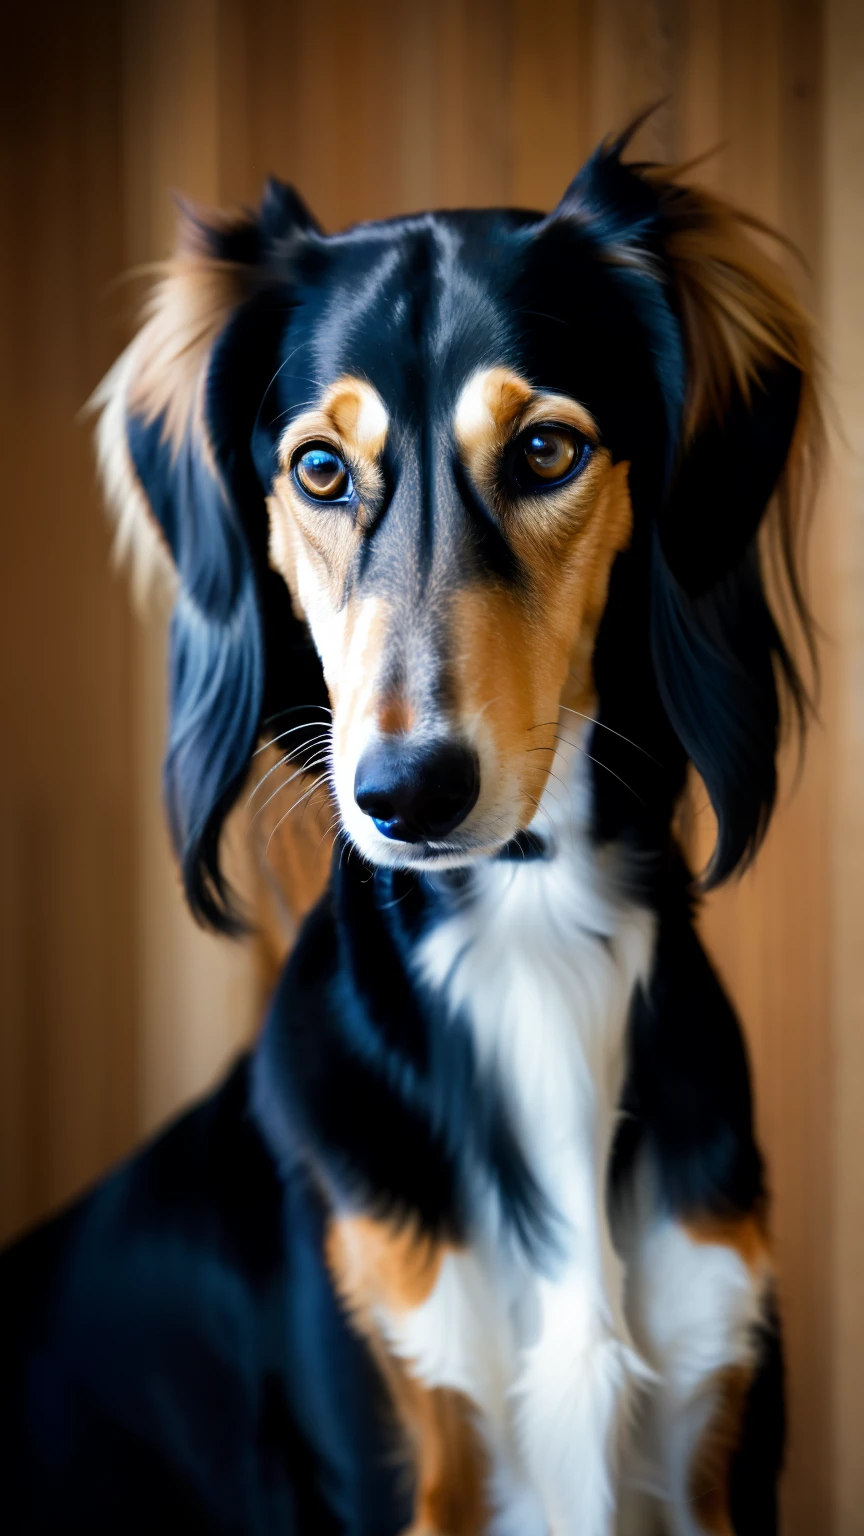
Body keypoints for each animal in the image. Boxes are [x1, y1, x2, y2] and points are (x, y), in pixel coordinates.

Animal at [1, 132, 811, 1536]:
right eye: (320, 470)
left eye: (546, 451)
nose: (409, 795)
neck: (527, 936)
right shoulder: (387, 1454)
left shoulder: (724, 1441)